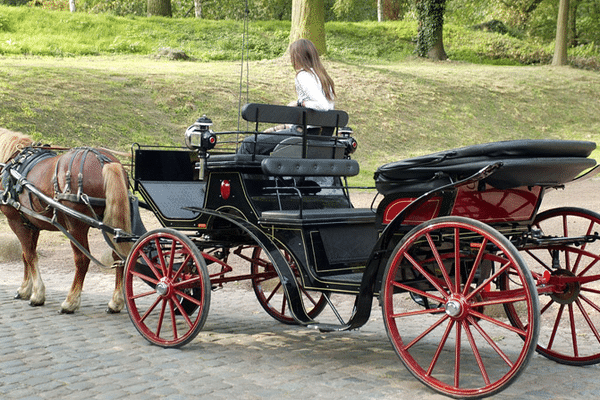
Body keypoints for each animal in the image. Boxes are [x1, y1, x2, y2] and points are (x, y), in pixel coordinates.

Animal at [0, 128, 132, 312]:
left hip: (75, 226)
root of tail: (104, 160)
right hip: (110, 223)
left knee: (82, 260)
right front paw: (25, 289)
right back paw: (116, 301)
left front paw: (37, 294)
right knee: (118, 256)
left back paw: (71, 301)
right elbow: (26, 255)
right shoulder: (32, 224)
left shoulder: (15, 221)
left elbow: (30, 255)